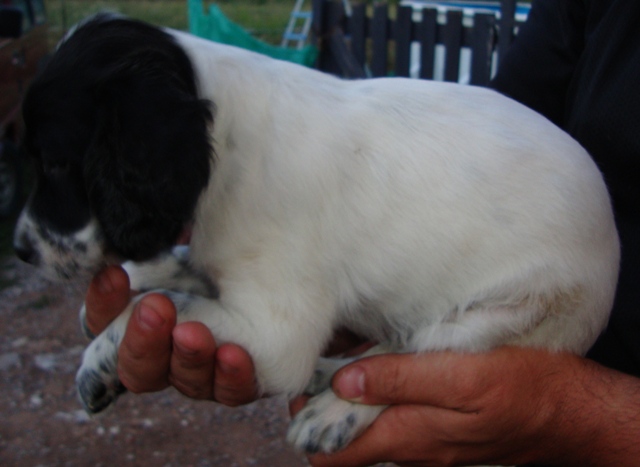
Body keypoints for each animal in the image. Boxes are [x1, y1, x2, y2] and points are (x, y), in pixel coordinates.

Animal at [11, 15, 620, 458]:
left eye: (58, 163)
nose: (19, 250)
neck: (230, 138)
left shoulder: (273, 333)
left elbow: (160, 305)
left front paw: (98, 358)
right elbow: (182, 270)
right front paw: (135, 281)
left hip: (510, 310)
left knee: (419, 353)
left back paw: (335, 407)